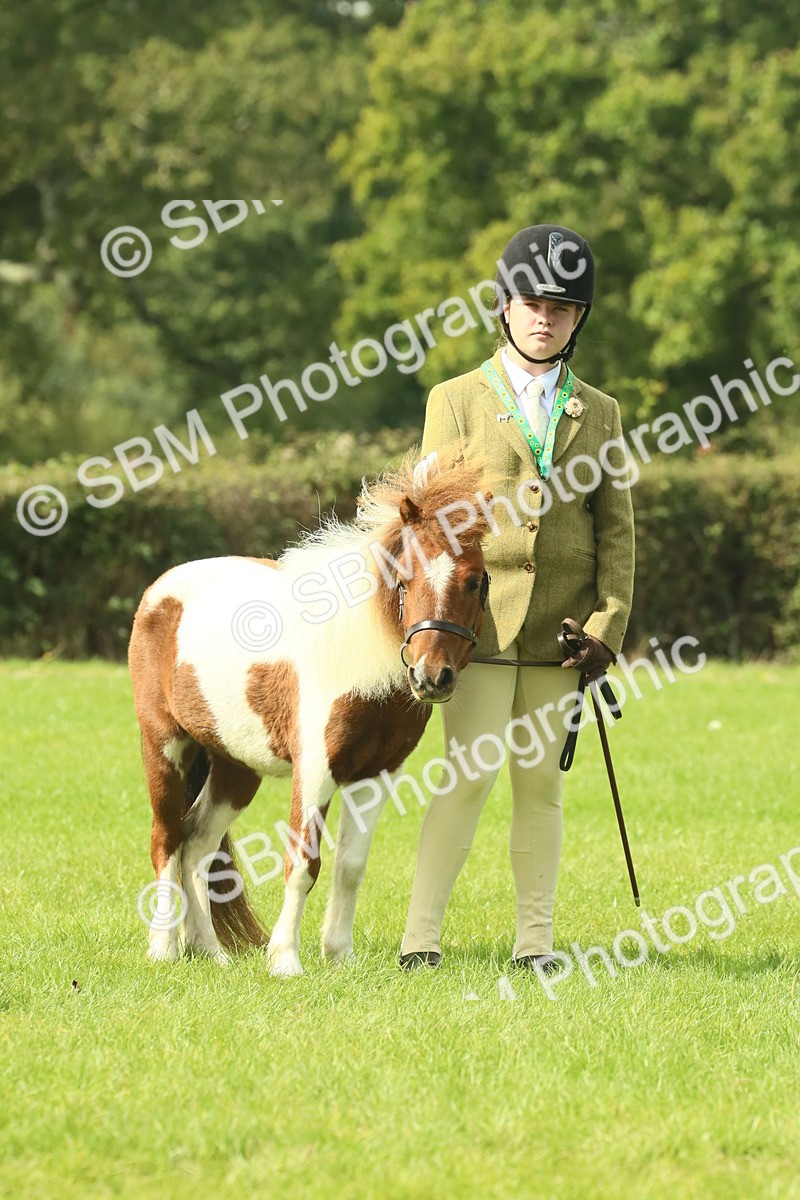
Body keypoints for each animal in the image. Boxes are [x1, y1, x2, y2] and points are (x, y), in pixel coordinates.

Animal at [128, 451, 496, 975]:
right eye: (404, 578)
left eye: (474, 580)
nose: (432, 676)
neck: (359, 659)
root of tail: (162, 590)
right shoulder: (316, 768)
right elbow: (303, 861)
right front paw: (285, 959)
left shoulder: (377, 773)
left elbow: (350, 866)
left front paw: (340, 955)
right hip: (164, 745)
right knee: (167, 839)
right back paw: (163, 948)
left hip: (235, 767)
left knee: (197, 843)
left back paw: (210, 951)